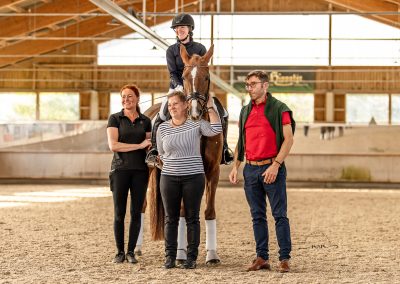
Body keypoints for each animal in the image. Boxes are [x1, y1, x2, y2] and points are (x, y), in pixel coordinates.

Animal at [147, 44, 222, 264]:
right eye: (184, 76)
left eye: (206, 76)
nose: (194, 111)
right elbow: (180, 211)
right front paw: (180, 254)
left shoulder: (212, 171)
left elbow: (209, 211)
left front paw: (211, 255)